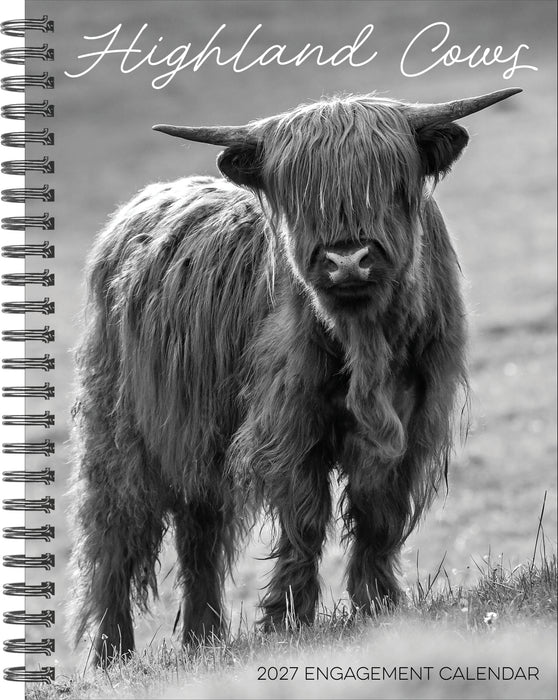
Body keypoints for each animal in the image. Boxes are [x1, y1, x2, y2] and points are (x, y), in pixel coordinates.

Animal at [69, 88, 521, 665]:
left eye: (391, 180)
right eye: (299, 192)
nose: (347, 259)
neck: (365, 343)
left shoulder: (415, 417)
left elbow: (379, 510)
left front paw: (378, 605)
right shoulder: (288, 420)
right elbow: (305, 515)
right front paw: (288, 620)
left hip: (196, 441)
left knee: (199, 533)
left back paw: (202, 639)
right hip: (119, 430)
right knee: (115, 533)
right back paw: (112, 655)